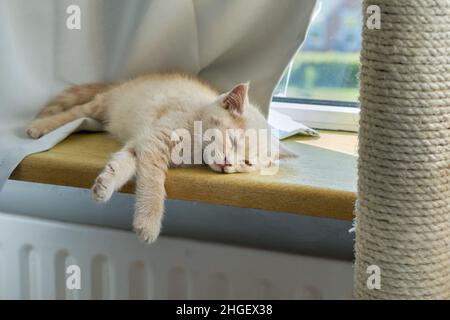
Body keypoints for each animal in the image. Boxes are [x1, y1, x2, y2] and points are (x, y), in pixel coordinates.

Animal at [28, 72, 296, 242]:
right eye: (232, 140)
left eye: (247, 163)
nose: (228, 164)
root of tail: (127, 81)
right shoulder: (155, 140)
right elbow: (154, 184)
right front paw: (148, 222)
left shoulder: (141, 142)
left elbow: (124, 163)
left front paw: (105, 184)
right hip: (103, 103)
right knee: (76, 112)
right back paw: (41, 125)